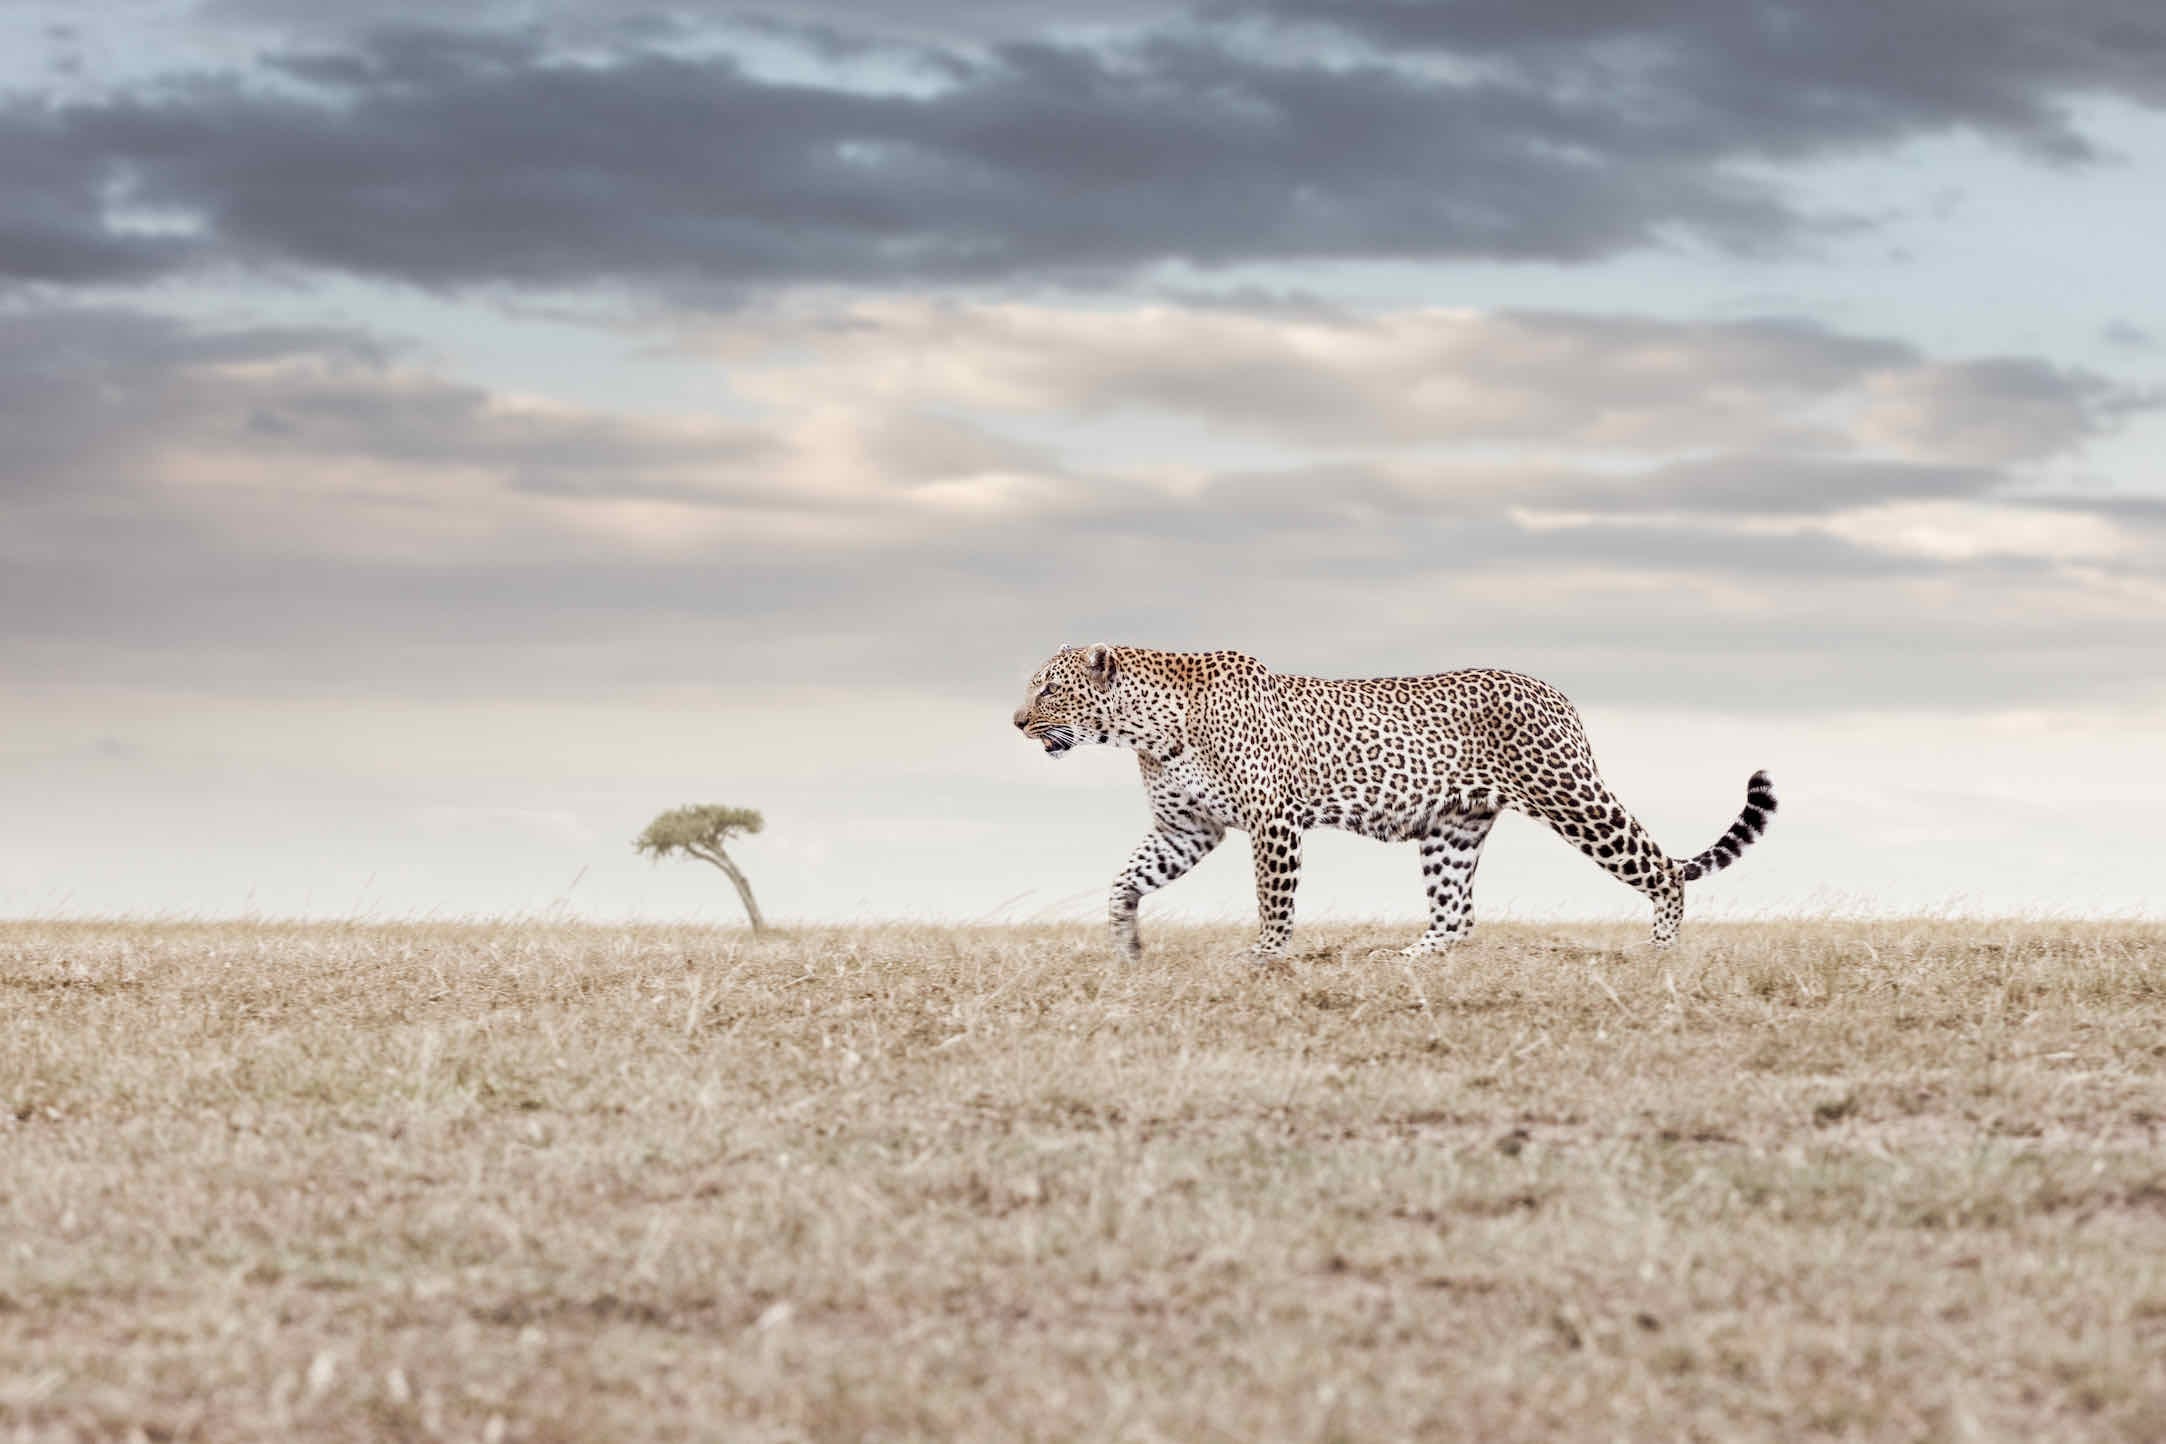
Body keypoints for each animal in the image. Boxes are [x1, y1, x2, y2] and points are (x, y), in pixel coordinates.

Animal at [1012, 644, 1775, 959]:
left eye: (1048, 687)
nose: (1016, 722)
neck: (1143, 728)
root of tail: (1555, 691)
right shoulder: (1187, 828)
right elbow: (1124, 881)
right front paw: (1125, 945)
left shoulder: (1272, 822)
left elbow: (1273, 899)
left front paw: (1264, 956)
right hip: (1452, 829)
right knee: (1457, 914)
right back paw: (1411, 958)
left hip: (1570, 797)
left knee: (1661, 866)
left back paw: (1663, 947)